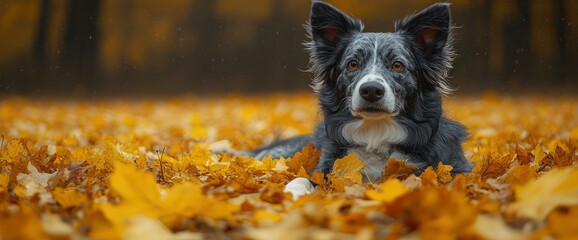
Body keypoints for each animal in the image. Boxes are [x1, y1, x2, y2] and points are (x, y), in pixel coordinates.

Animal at [223, 0, 470, 192]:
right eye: (352, 64)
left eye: (397, 65)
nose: (371, 90)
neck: (375, 133)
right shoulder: (324, 168)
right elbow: (304, 178)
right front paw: (292, 193)